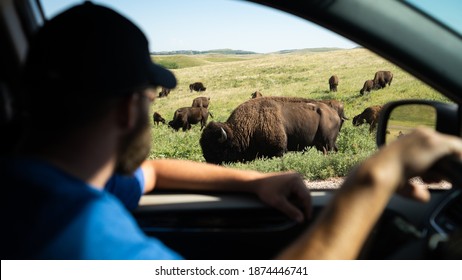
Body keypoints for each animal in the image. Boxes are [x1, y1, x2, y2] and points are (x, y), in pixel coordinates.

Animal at [199, 97, 340, 165]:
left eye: (216, 148)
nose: (209, 163)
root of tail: (334, 113)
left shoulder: (278, 151)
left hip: (328, 143)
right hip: (322, 145)